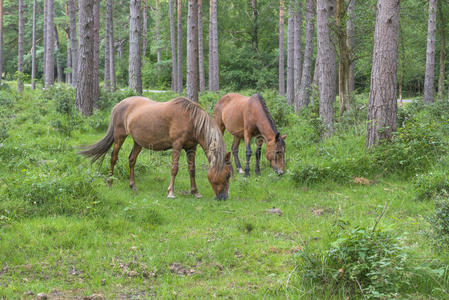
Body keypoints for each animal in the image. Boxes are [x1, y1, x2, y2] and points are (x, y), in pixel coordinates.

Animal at [79, 96, 231, 199]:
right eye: (227, 175)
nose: (223, 197)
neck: (192, 120)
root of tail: (118, 105)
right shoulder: (177, 145)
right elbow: (174, 169)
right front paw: (171, 192)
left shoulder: (191, 148)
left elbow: (192, 170)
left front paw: (195, 192)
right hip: (119, 136)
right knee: (113, 158)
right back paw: (110, 182)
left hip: (138, 142)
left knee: (131, 160)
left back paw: (133, 185)